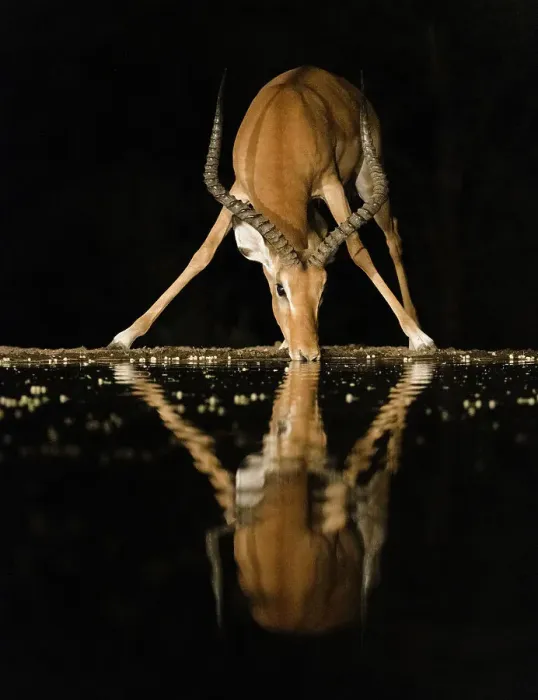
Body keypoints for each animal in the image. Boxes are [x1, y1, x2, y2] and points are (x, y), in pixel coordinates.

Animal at [109, 66, 435, 361]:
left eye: (323, 290)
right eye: (281, 289)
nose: (308, 354)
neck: (284, 127)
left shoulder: (331, 184)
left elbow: (359, 251)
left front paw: (421, 339)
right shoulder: (238, 189)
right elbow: (203, 254)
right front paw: (124, 337)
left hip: (367, 181)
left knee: (393, 236)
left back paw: (415, 328)